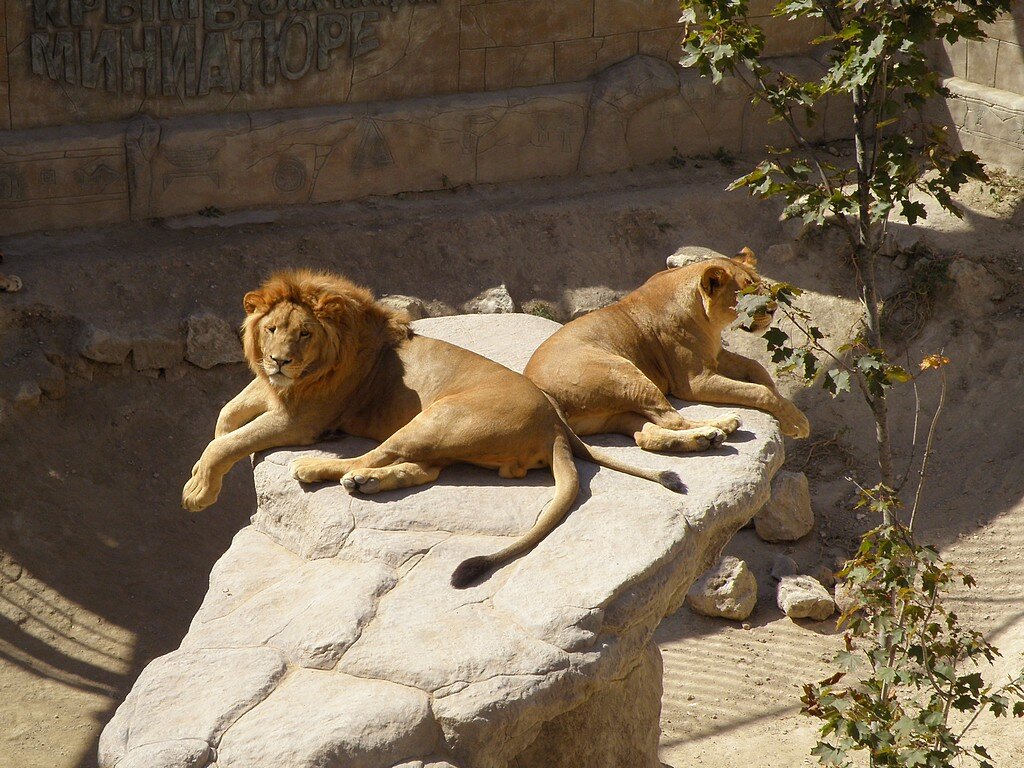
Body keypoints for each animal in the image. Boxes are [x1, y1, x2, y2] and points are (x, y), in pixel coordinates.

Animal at [184, 270, 679, 589]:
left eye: (304, 334)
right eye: (271, 329)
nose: (279, 361)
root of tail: (556, 423)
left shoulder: (300, 417)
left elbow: (228, 442)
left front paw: (197, 492)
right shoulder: (273, 391)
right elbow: (225, 419)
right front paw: (200, 474)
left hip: (436, 418)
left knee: (377, 455)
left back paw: (322, 471)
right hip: (439, 434)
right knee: (422, 469)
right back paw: (366, 484)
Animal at [524, 249, 811, 450]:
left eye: (762, 288)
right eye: (745, 295)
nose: (773, 310)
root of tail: (542, 393)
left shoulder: (716, 355)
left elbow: (757, 368)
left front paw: (789, 414)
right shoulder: (695, 382)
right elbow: (759, 391)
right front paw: (798, 422)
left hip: (615, 413)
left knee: (646, 434)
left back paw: (703, 439)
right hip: (625, 374)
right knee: (672, 420)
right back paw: (721, 427)